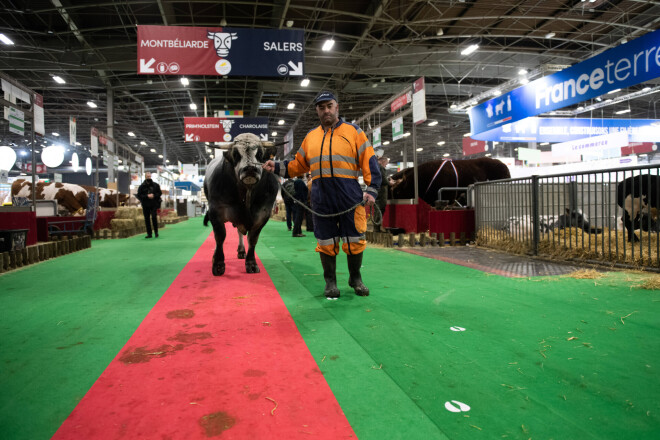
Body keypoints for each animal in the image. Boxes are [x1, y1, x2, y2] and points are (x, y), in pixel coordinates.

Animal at [202, 132, 278, 276]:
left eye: (260, 153)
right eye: (236, 154)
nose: (250, 169)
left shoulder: (264, 212)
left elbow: (252, 239)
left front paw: (251, 263)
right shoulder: (215, 210)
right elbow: (220, 236)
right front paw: (218, 263)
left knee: (240, 232)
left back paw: (242, 250)